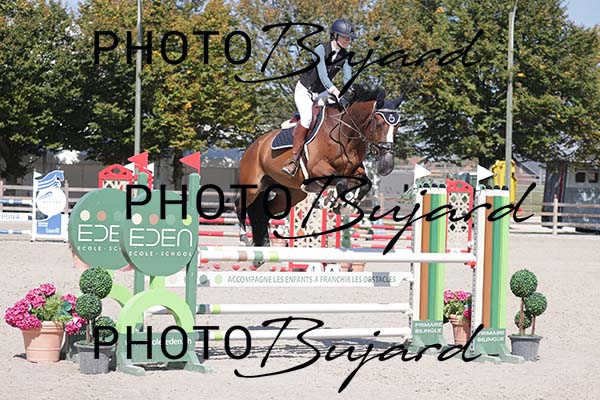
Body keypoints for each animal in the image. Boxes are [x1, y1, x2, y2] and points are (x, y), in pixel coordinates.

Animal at [235, 84, 404, 250]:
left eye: (397, 127)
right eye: (379, 124)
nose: (387, 165)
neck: (345, 133)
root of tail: (254, 145)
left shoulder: (354, 170)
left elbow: (365, 184)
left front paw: (343, 206)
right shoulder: (317, 169)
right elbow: (341, 182)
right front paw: (331, 202)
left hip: (290, 194)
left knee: (264, 211)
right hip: (253, 186)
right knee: (239, 203)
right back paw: (243, 238)